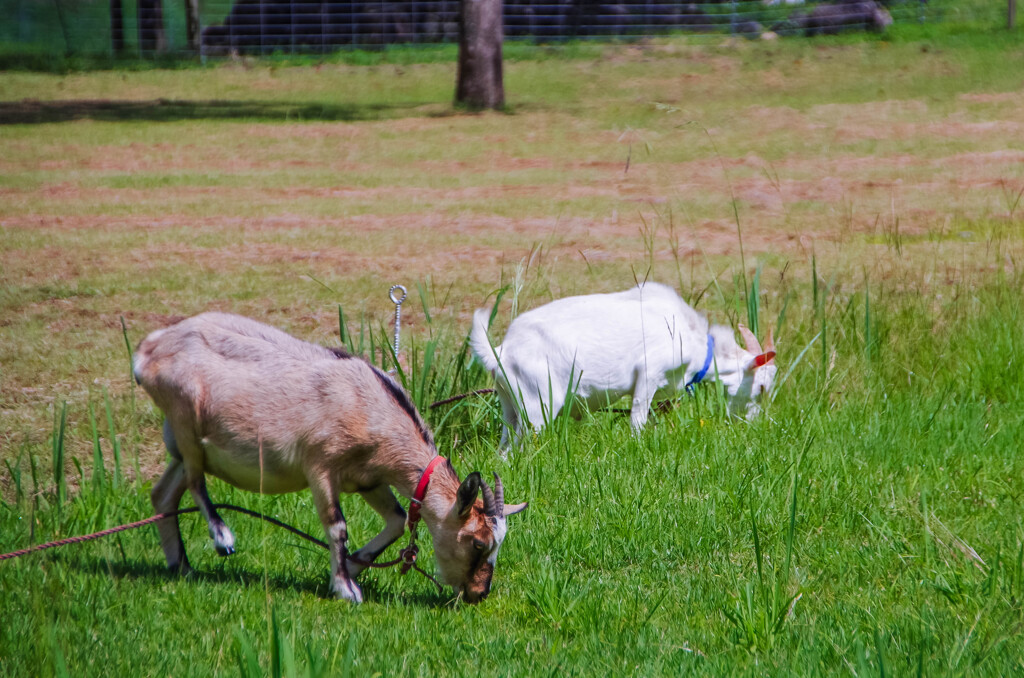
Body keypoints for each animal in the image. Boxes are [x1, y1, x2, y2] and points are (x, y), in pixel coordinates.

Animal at [133, 313, 528, 606]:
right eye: (478, 543)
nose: (478, 594)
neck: (370, 406)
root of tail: (148, 351)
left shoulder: (369, 479)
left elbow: (398, 520)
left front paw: (352, 568)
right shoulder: (320, 467)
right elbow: (337, 526)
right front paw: (346, 589)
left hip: (187, 446)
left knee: (164, 494)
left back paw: (181, 566)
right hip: (184, 415)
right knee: (195, 481)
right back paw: (222, 537)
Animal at [468, 282, 774, 450]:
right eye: (761, 388)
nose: (753, 424)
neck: (693, 339)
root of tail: (501, 351)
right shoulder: (649, 373)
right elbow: (637, 417)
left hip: (510, 403)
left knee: (506, 448)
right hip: (538, 403)